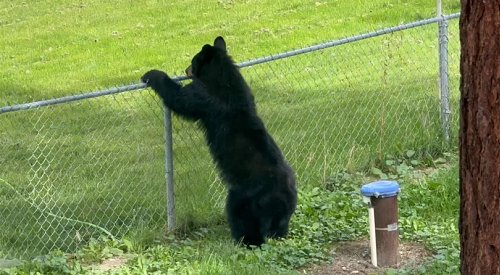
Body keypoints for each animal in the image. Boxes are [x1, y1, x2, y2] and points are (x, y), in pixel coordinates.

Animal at [141, 37, 296, 248]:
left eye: (193, 61)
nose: (185, 70)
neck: (224, 79)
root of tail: (282, 194)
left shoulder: (204, 97)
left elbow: (180, 98)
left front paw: (152, 75)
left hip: (245, 196)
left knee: (240, 216)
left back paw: (244, 240)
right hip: (282, 210)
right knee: (278, 228)